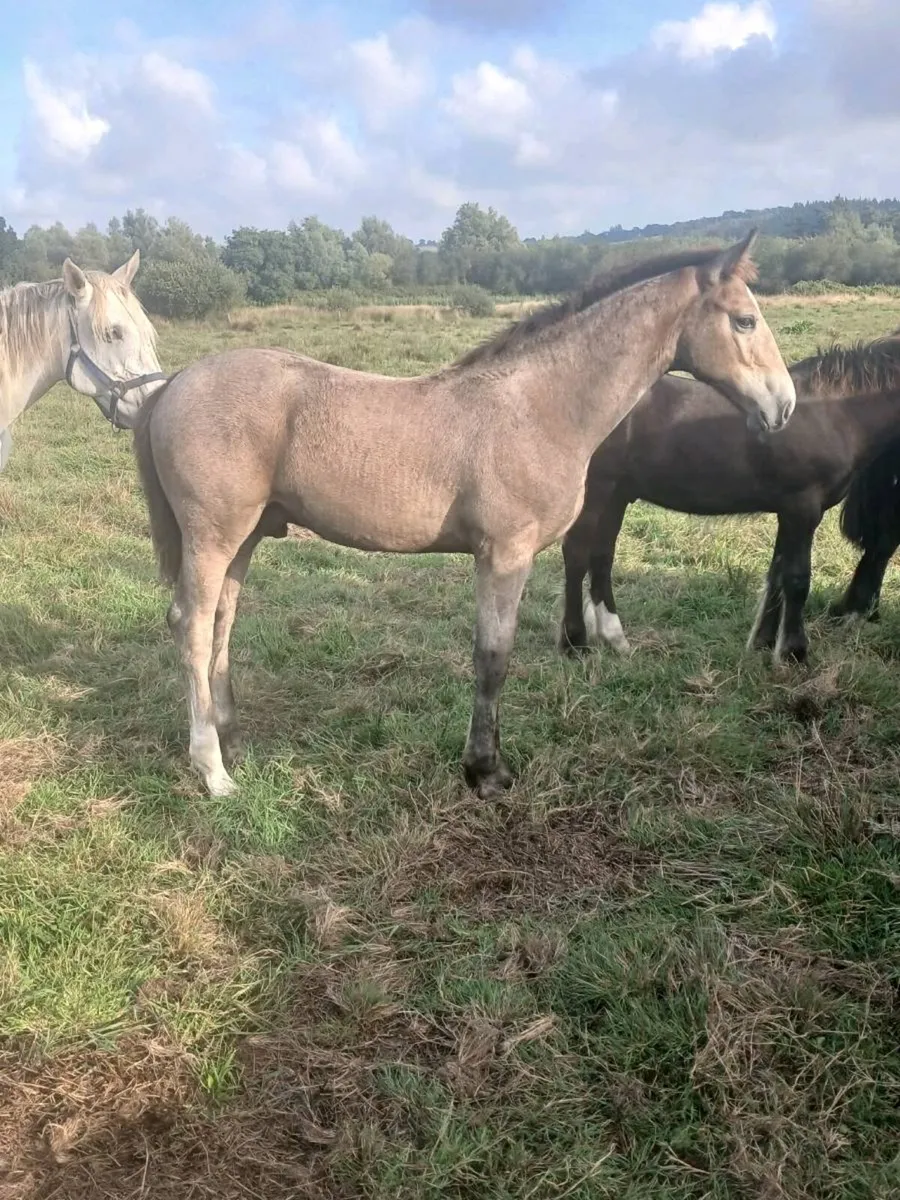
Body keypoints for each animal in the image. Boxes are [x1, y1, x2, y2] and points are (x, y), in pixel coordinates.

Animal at [132, 233, 795, 800]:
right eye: (744, 320)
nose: (783, 405)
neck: (540, 407)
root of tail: (174, 383)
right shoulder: (504, 554)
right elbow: (493, 658)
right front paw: (486, 771)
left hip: (244, 538)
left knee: (222, 621)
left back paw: (233, 739)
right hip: (213, 536)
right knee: (191, 625)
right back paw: (213, 769)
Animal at [558, 331, 900, 665]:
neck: (835, 412)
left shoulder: (788, 512)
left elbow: (777, 575)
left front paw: (764, 642)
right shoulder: (803, 508)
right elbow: (797, 579)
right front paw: (794, 654)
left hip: (616, 496)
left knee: (601, 557)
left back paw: (614, 639)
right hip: (597, 493)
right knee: (576, 555)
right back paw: (574, 643)